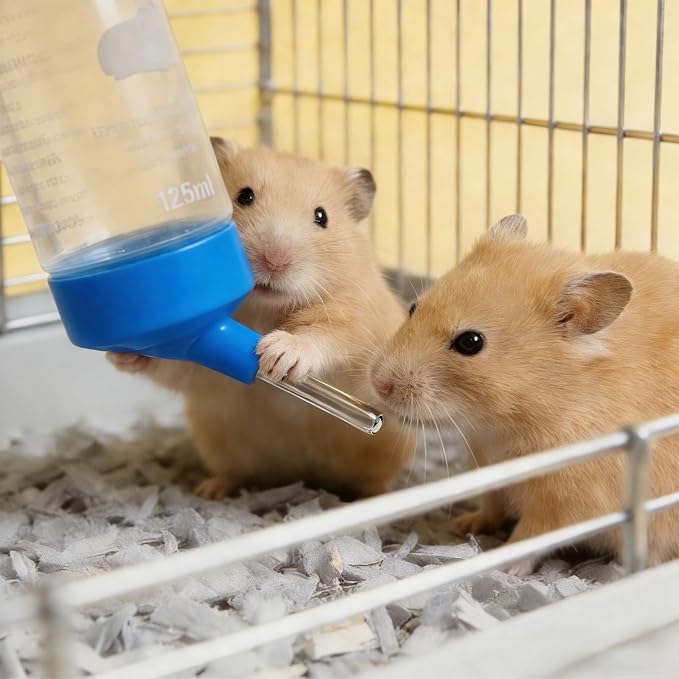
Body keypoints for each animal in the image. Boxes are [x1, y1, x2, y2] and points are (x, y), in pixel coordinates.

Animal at [108, 139, 414, 500]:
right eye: (244, 196)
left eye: (321, 217)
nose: (275, 261)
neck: (263, 308)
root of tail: (298, 475)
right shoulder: (204, 366)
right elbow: (173, 367)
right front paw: (123, 354)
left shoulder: (355, 317)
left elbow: (325, 336)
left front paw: (278, 356)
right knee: (235, 473)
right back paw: (209, 490)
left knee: (373, 481)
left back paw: (378, 497)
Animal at [370, 213, 679, 574]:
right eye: (413, 308)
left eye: (470, 342)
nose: (380, 383)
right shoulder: (487, 466)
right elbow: (491, 503)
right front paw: (464, 525)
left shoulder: (568, 497)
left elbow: (532, 534)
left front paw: (504, 565)